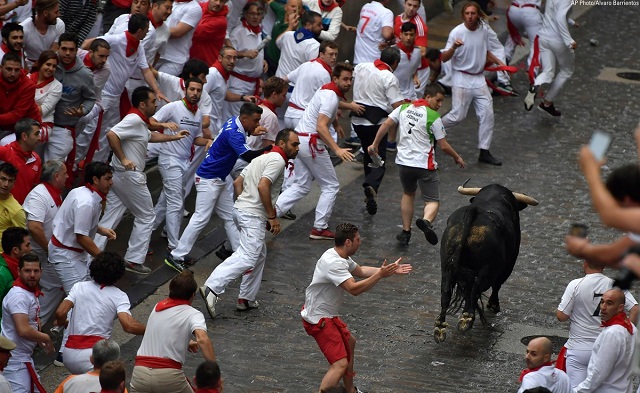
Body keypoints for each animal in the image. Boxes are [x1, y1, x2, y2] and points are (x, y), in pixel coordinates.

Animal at [432, 184, 536, 344]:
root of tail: (474, 211)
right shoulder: (507, 267)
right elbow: (496, 285)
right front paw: (493, 305)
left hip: (446, 266)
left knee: (446, 292)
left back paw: (440, 328)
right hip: (486, 269)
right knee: (476, 289)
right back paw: (466, 319)